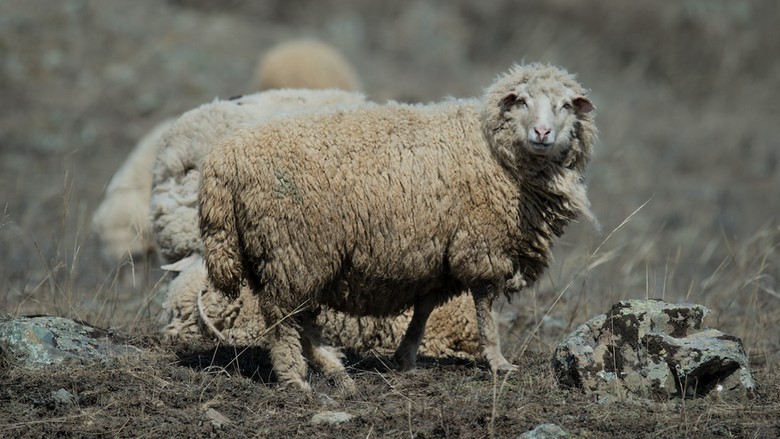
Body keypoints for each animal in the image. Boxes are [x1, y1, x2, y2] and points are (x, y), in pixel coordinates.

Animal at [200, 62, 596, 392]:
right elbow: (484, 309)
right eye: (523, 101)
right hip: (294, 247)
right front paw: (498, 362)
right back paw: (295, 377)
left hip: (279, 253)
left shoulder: (437, 255)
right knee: (282, 316)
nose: (542, 132)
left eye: (565, 105)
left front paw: (405, 357)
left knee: (301, 316)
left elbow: (424, 308)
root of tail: (221, 163)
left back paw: (334, 368)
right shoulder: (482, 244)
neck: (492, 147)